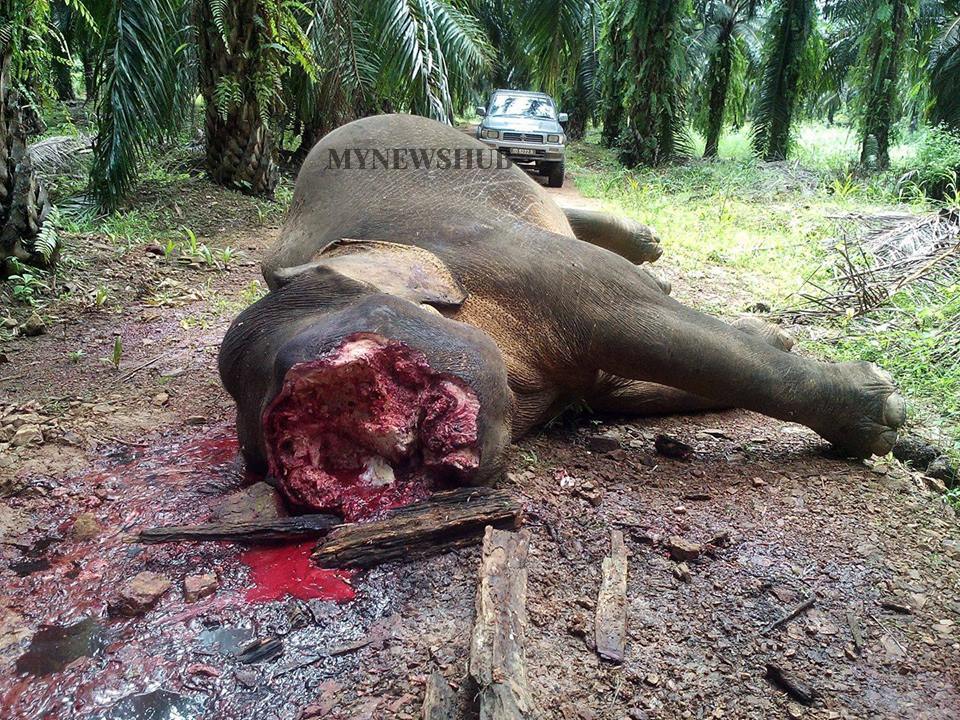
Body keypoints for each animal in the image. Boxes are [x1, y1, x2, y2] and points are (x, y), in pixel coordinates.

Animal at [216, 112, 900, 520]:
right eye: (256, 457)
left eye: (302, 351)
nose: (278, 457)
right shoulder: (580, 380)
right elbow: (649, 382)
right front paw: (778, 336)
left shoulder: (514, 258)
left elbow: (673, 334)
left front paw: (882, 413)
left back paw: (648, 244)